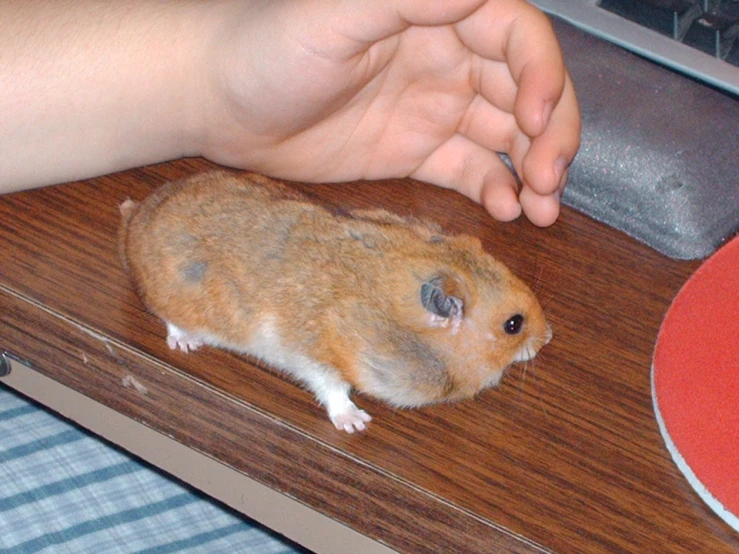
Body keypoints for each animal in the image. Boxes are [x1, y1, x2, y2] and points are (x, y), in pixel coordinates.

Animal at [118, 170, 552, 430]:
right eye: (513, 325)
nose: (548, 338)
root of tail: (134, 218)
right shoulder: (314, 354)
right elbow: (331, 388)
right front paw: (357, 423)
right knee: (170, 319)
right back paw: (186, 343)